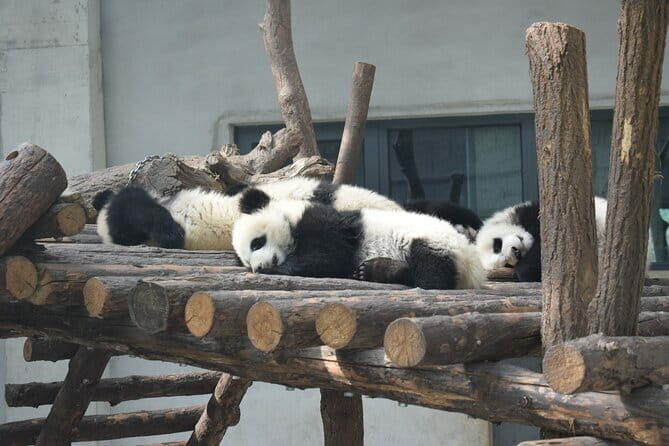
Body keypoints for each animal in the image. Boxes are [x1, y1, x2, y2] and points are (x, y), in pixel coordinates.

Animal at [231, 188, 485, 290]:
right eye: (246, 262)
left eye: (257, 242)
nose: (258, 267)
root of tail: (473, 265)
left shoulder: (321, 223)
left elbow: (326, 258)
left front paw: (275, 270)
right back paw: (372, 271)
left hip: (435, 241)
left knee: (431, 273)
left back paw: (385, 269)